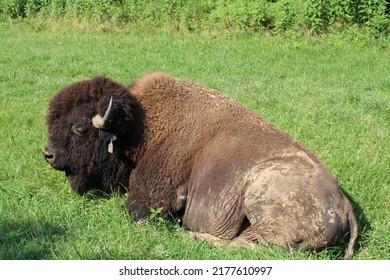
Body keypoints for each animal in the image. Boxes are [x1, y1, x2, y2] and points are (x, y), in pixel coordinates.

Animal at [44, 73, 358, 260]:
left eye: (79, 128)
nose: (48, 154)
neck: (139, 128)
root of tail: (344, 204)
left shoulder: (153, 197)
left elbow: (138, 212)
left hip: (259, 193)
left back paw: (190, 234)